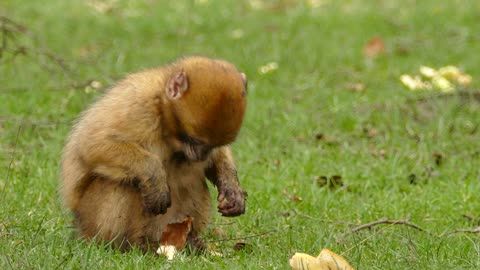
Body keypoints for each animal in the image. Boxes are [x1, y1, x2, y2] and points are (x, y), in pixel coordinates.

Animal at [59, 56, 248, 252]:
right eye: (194, 141)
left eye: (211, 146)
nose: (201, 156)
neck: (162, 109)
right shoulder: (139, 107)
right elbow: (92, 144)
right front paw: (154, 174)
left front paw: (231, 186)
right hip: (92, 220)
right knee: (118, 183)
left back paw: (188, 241)